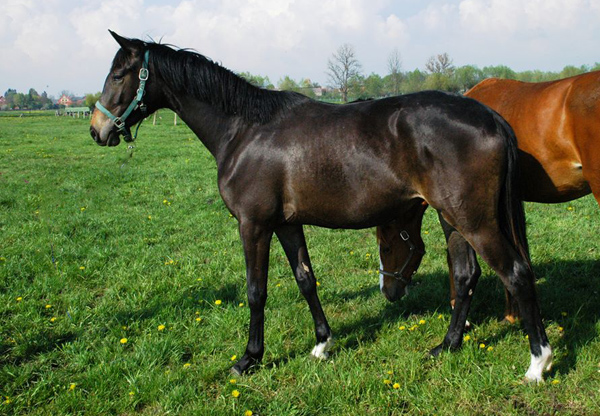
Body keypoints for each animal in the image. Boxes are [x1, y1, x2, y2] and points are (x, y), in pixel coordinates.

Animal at [90, 31, 552, 384]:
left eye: (118, 74)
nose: (97, 130)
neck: (244, 131)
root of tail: (491, 118)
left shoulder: (253, 225)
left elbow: (255, 291)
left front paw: (249, 358)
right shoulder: (285, 224)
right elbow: (305, 280)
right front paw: (322, 342)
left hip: (476, 222)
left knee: (515, 273)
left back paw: (538, 362)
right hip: (452, 219)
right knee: (466, 275)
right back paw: (447, 346)